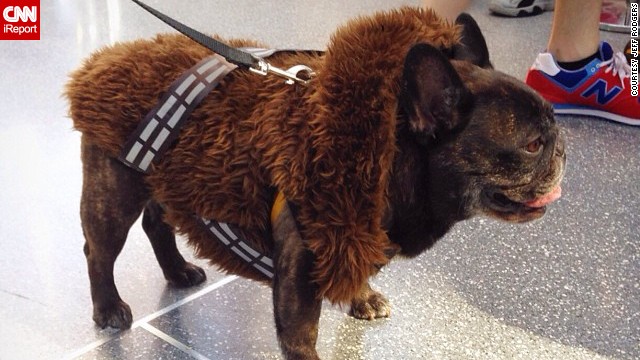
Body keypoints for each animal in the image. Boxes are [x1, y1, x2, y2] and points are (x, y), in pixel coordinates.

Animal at [65, 8, 564, 360]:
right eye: (532, 145)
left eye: (551, 128)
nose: (562, 148)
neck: (388, 157)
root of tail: (105, 60)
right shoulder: (305, 261)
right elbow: (302, 333)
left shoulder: (356, 231)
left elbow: (357, 265)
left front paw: (362, 298)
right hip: (113, 194)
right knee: (99, 251)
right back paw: (108, 308)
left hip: (167, 177)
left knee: (158, 221)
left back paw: (177, 271)